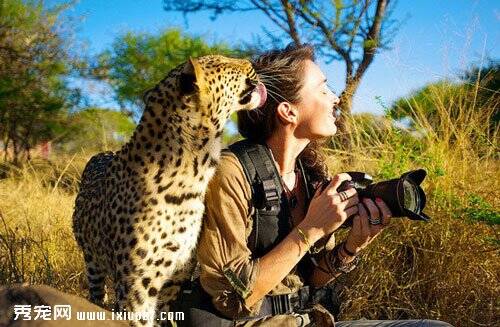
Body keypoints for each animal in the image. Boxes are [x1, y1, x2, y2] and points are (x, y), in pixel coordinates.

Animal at [71, 55, 268, 326]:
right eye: (224, 62)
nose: (251, 62)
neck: (194, 169)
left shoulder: (174, 280)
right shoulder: (135, 289)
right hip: (92, 262)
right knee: (96, 294)